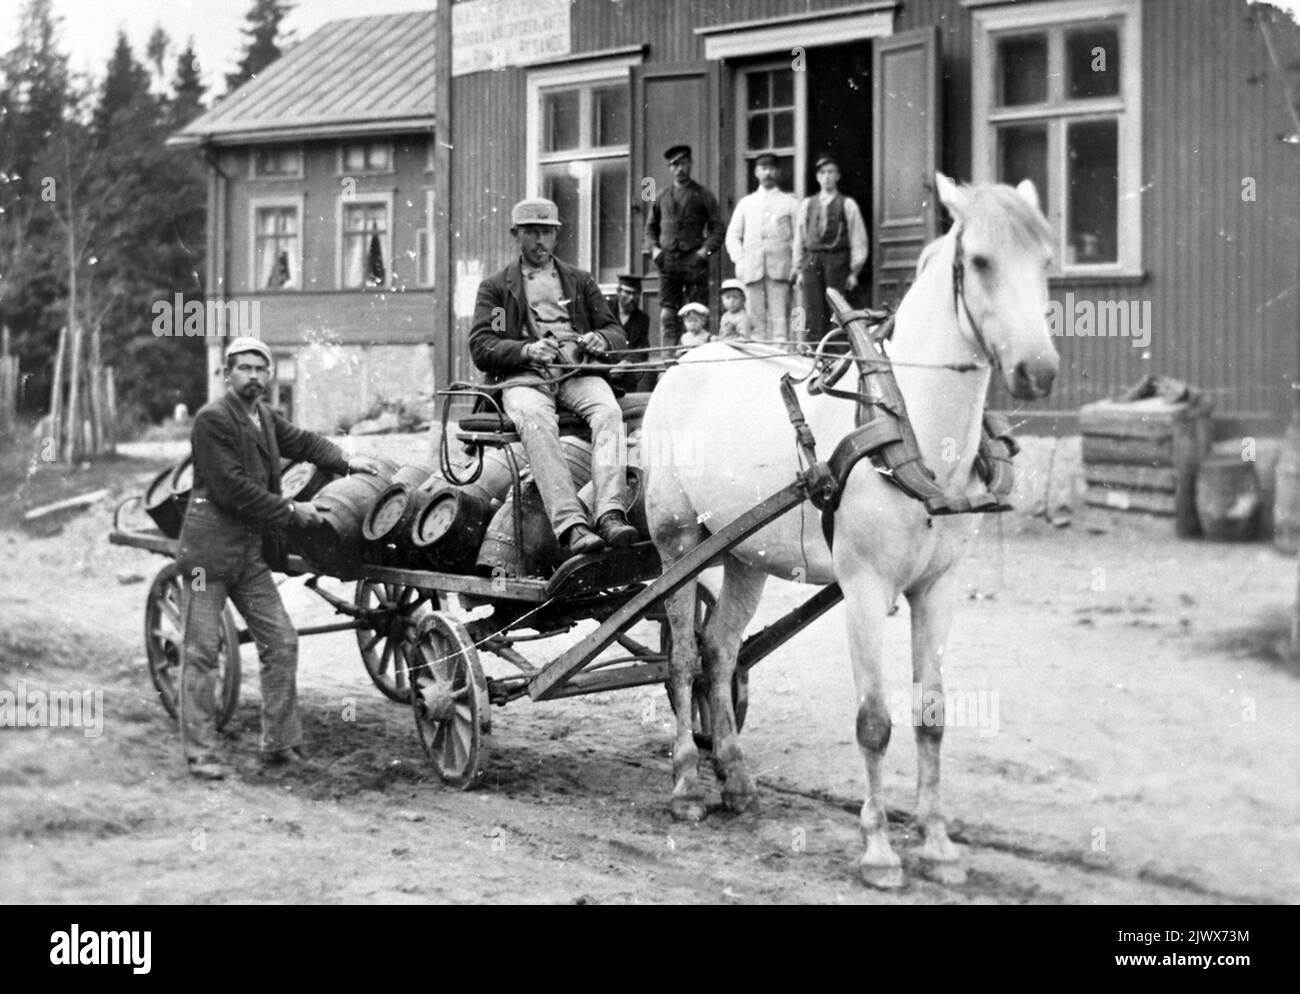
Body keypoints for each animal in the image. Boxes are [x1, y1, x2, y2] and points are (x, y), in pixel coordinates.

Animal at [644, 174, 1060, 888]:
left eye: (1046, 261)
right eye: (980, 261)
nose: (1039, 369)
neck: (910, 431)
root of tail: (685, 360)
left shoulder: (938, 590)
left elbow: (931, 715)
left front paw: (938, 844)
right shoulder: (864, 589)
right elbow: (873, 722)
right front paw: (879, 850)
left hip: (745, 553)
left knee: (720, 654)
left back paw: (736, 778)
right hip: (677, 545)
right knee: (682, 661)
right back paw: (687, 787)